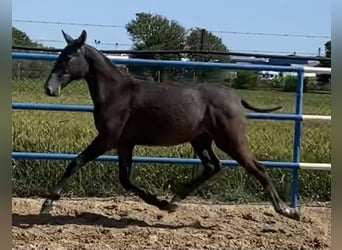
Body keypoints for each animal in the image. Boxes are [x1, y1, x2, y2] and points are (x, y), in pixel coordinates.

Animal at [40, 29, 300, 221]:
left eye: (69, 57)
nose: (49, 88)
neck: (117, 93)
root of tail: (235, 97)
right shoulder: (124, 143)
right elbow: (125, 179)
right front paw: (162, 203)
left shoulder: (107, 139)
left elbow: (76, 162)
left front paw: (48, 203)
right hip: (201, 141)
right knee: (213, 167)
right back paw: (176, 200)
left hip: (231, 141)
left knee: (257, 168)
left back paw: (287, 211)